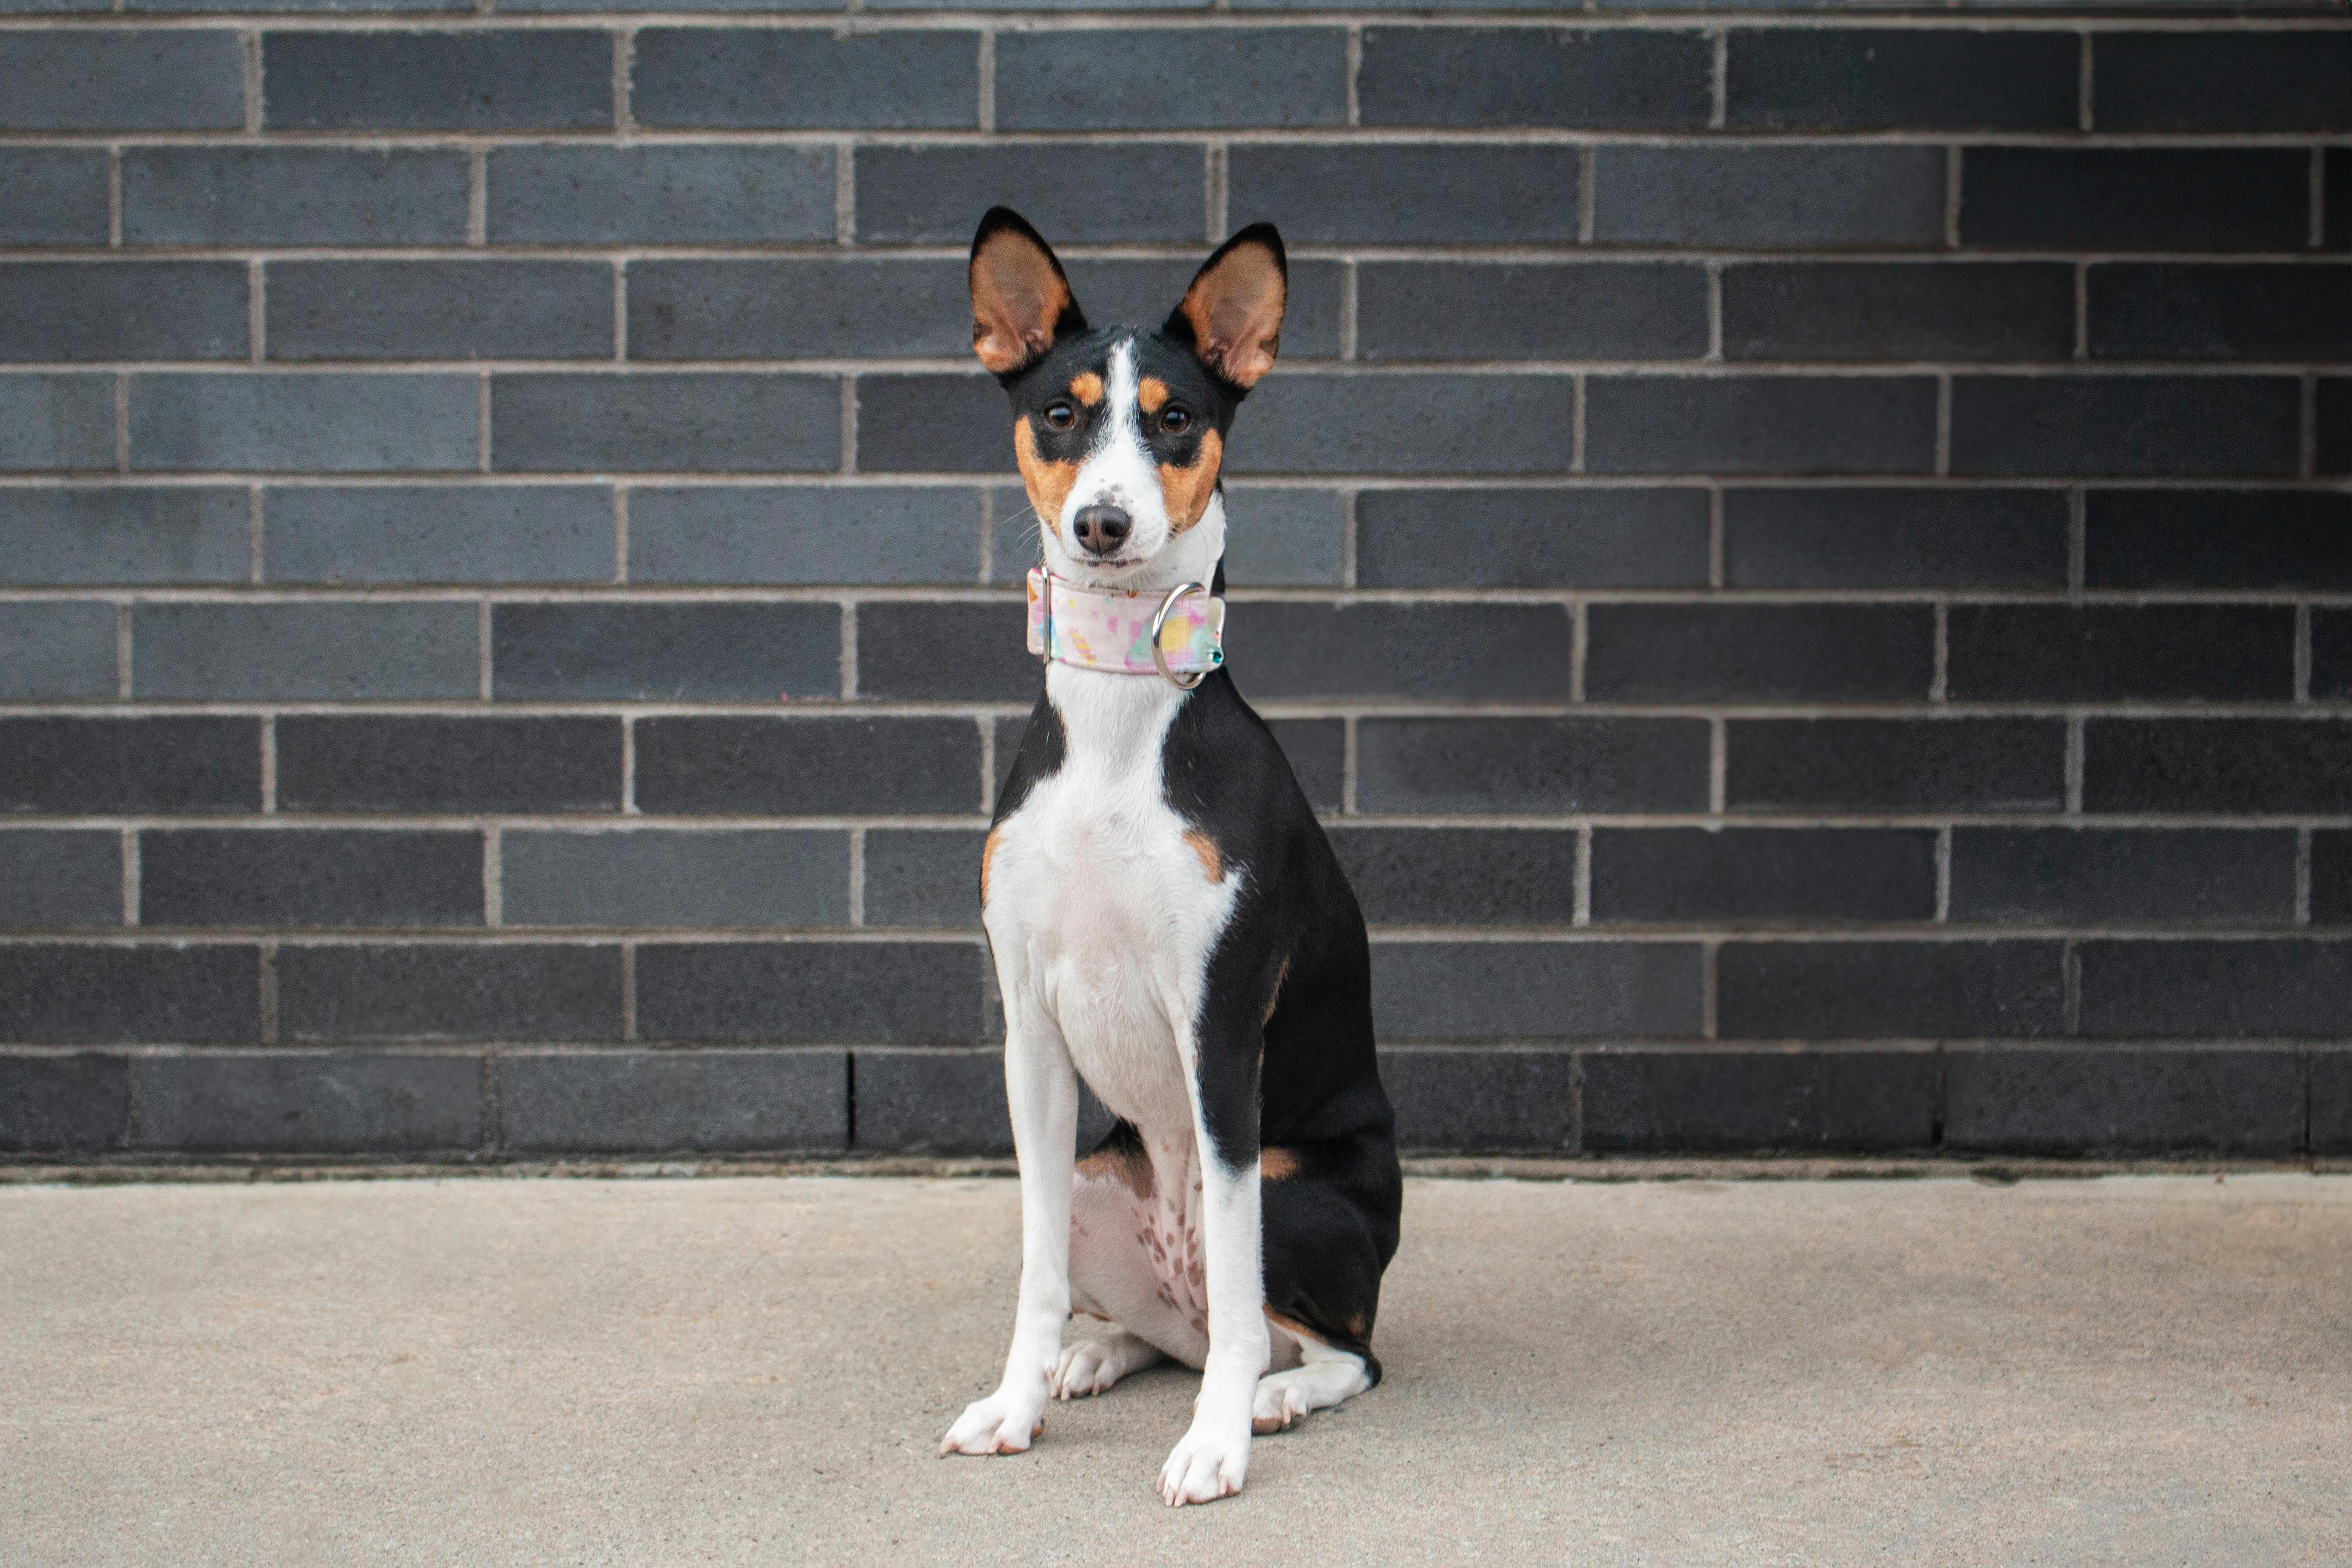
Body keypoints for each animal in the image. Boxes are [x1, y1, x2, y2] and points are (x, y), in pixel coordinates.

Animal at [936, 202, 1402, 1504]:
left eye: (1177, 419)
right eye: (1062, 412)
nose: (1103, 522)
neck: (1115, 721)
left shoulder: (1220, 1025)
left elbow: (1241, 1293)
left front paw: (1216, 1443)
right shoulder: (1031, 1033)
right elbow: (1035, 1274)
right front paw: (1016, 1402)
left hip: (1299, 1189)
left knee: (1320, 1342)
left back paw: (1273, 1395)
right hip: (1104, 1180)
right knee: (1173, 1326)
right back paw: (1099, 1357)